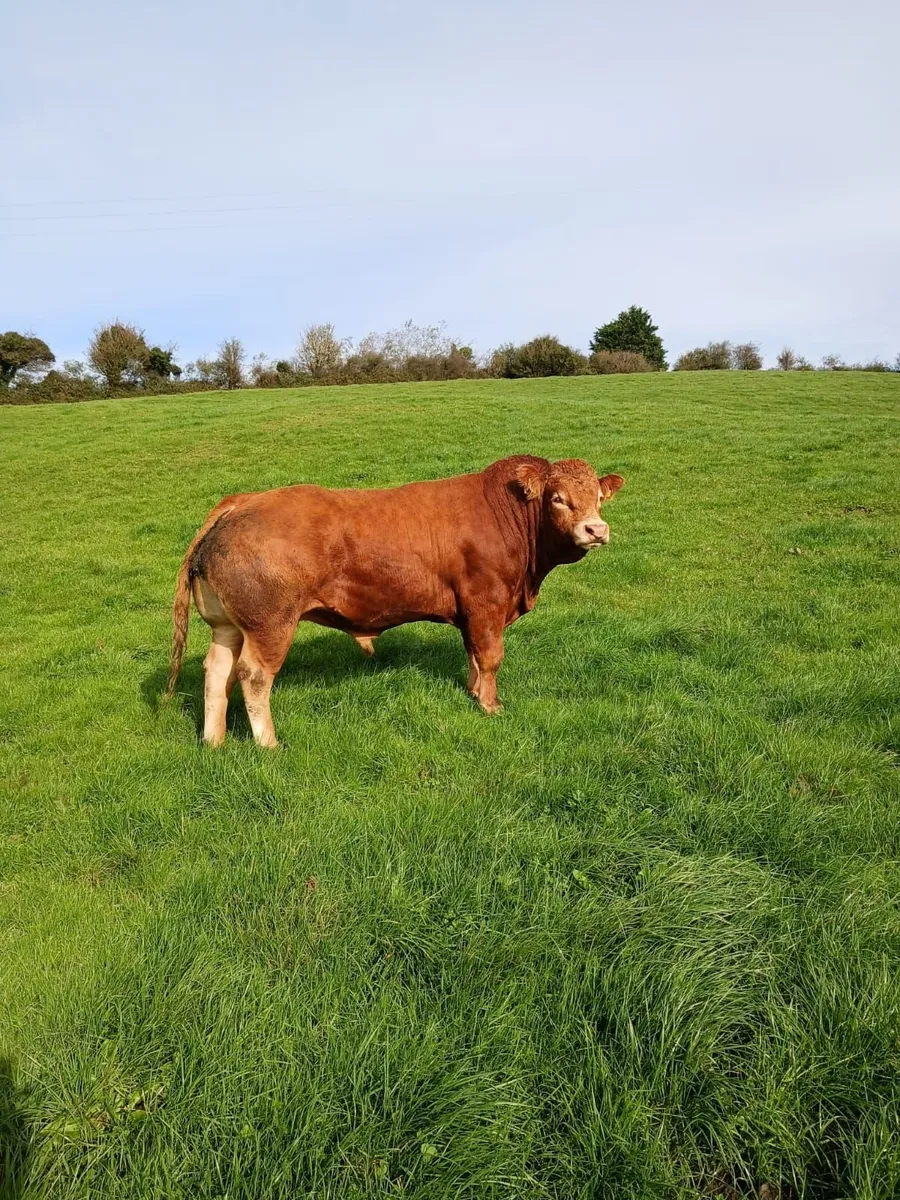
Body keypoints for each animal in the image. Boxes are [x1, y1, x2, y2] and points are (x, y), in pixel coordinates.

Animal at [165, 455, 624, 747]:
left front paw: (474, 691)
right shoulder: (486, 602)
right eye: (557, 498)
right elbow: (491, 656)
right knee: (254, 676)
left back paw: (214, 740)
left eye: (599, 498)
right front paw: (491, 705)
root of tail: (242, 501)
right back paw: (269, 744)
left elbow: (473, 654)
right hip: (270, 625)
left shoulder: (471, 611)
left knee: (217, 672)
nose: (596, 530)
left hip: (228, 626)